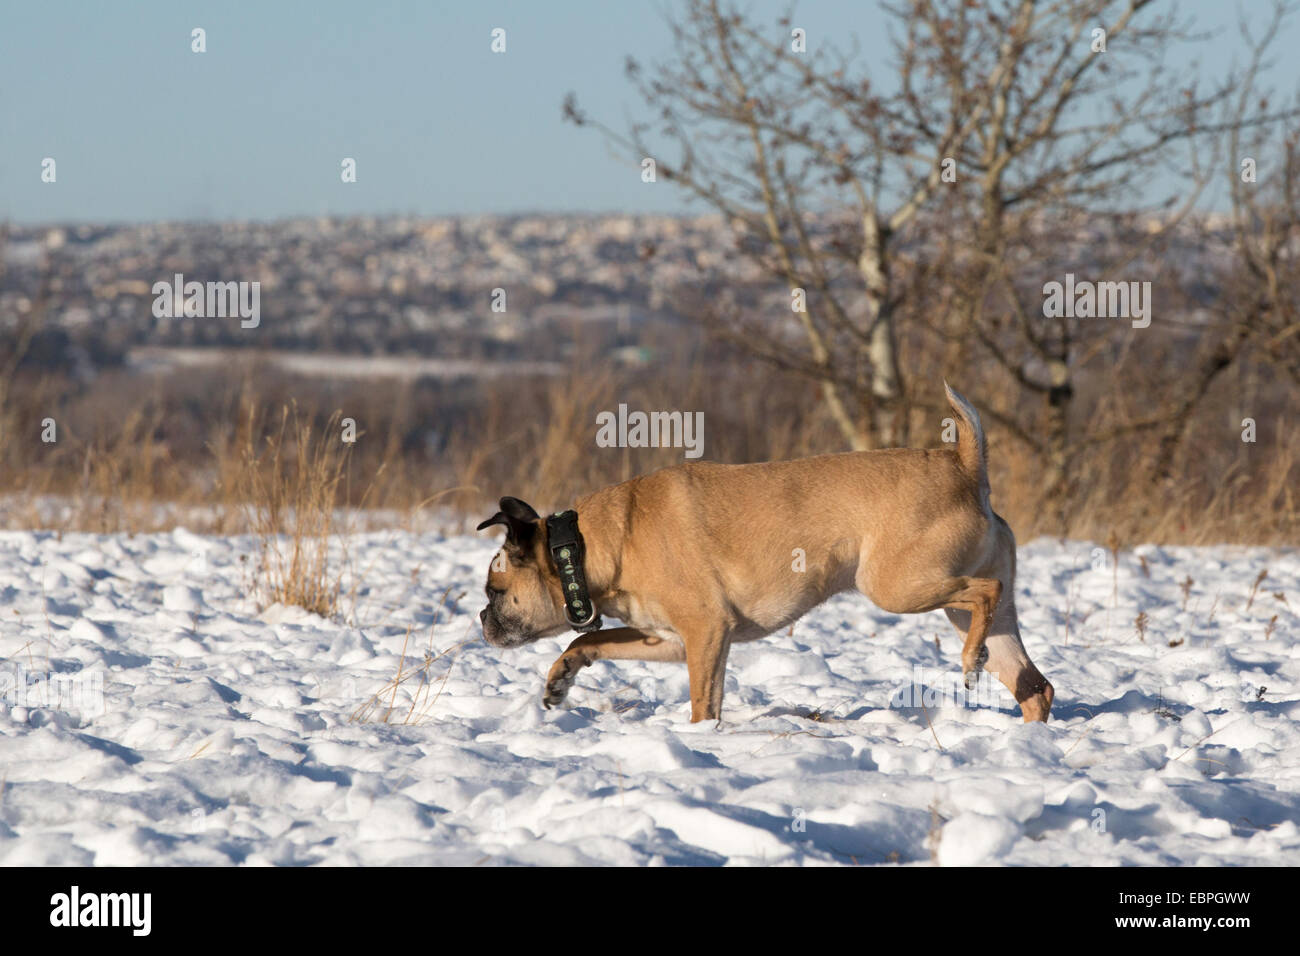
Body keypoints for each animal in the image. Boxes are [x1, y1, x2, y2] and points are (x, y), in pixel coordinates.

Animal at [478, 385, 1055, 723]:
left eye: (495, 591)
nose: (482, 619)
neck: (582, 547)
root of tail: (964, 466)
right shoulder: (667, 639)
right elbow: (589, 642)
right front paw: (560, 680)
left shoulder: (707, 633)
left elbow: (703, 702)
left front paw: (702, 739)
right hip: (962, 607)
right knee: (1035, 685)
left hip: (900, 587)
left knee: (987, 593)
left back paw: (970, 662)